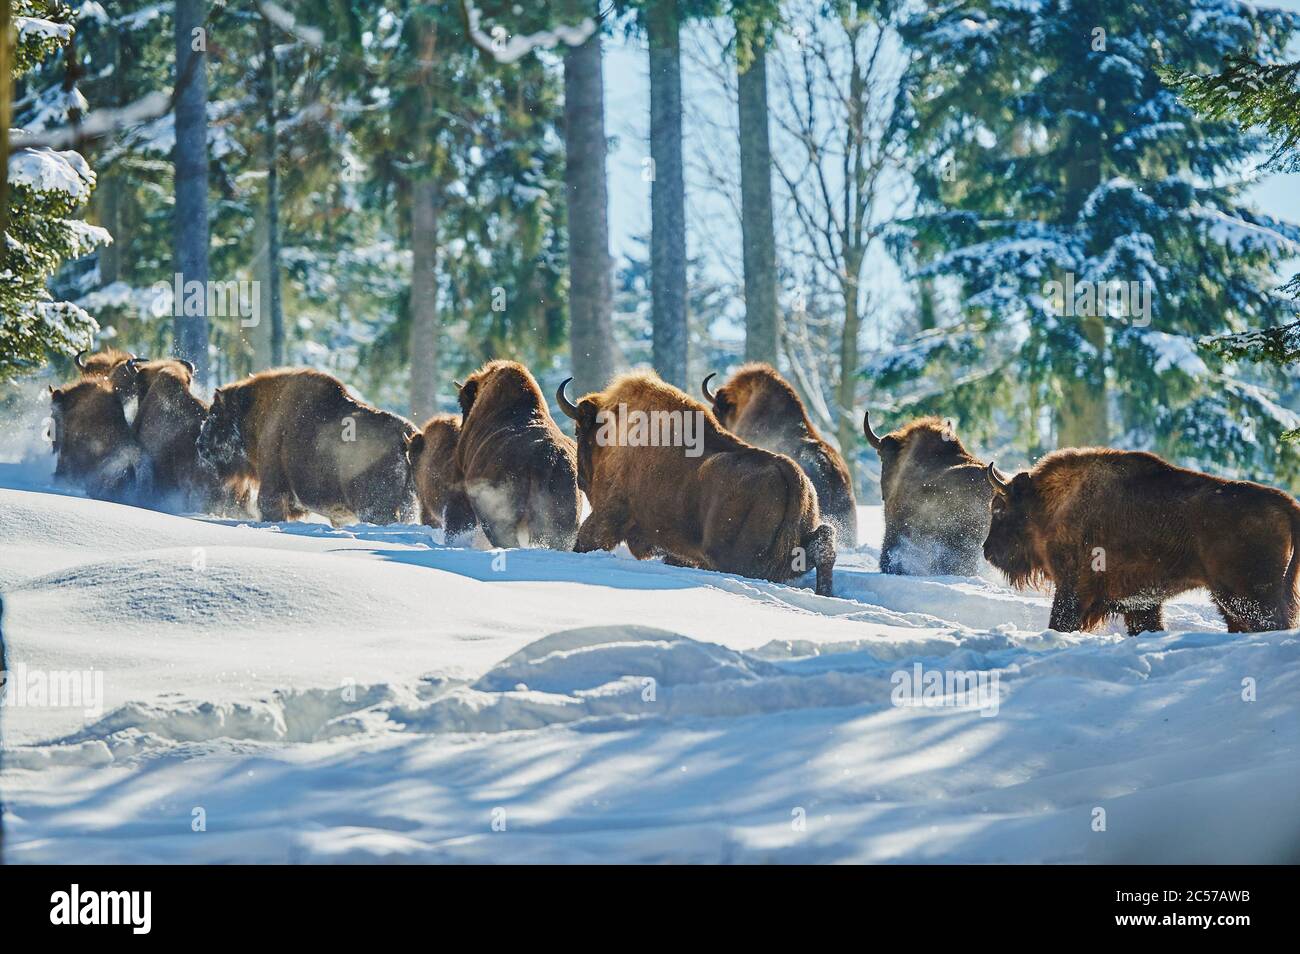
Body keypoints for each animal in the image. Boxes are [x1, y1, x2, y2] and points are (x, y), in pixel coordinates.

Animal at [197, 368, 415, 525]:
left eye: (214, 414)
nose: (199, 444)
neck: (255, 413)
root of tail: (407, 435)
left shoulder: (272, 492)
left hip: (374, 509)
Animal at [558, 370, 836, 595]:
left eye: (579, 432)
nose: (581, 479)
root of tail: (789, 472)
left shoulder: (610, 514)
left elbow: (586, 538)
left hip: (734, 557)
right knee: (823, 546)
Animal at [983, 448, 1300, 634]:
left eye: (999, 509)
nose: (987, 551)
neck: (1047, 505)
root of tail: (1286, 504)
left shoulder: (1072, 591)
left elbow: (1060, 623)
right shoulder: (1141, 602)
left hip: (1246, 598)